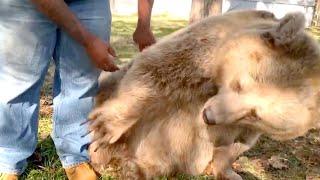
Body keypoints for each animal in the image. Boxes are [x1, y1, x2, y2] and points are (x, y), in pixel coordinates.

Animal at [86, 10, 320, 180]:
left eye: (254, 114)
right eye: (239, 85)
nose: (209, 117)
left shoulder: (242, 127)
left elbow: (239, 141)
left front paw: (230, 172)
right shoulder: (208, 45)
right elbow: (157, 70)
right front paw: (105, 127)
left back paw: (140, 168)